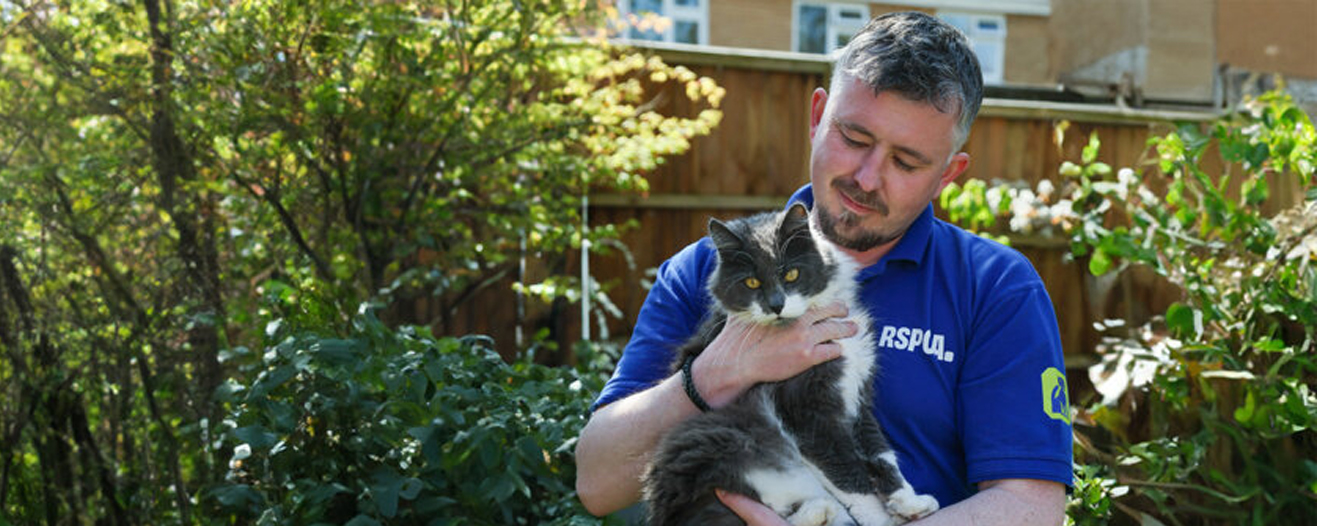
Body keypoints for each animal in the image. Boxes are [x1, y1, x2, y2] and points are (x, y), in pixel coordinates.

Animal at [641, 203, 939, 526]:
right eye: (752, 282)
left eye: (791, 274)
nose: (776, 305)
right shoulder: (807, 412)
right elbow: (850, 477)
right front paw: (882, 519)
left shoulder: (859, 398)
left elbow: (883, 455)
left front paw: (907, 502)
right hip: (719, 442)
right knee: (772, 508)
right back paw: (821, 509)